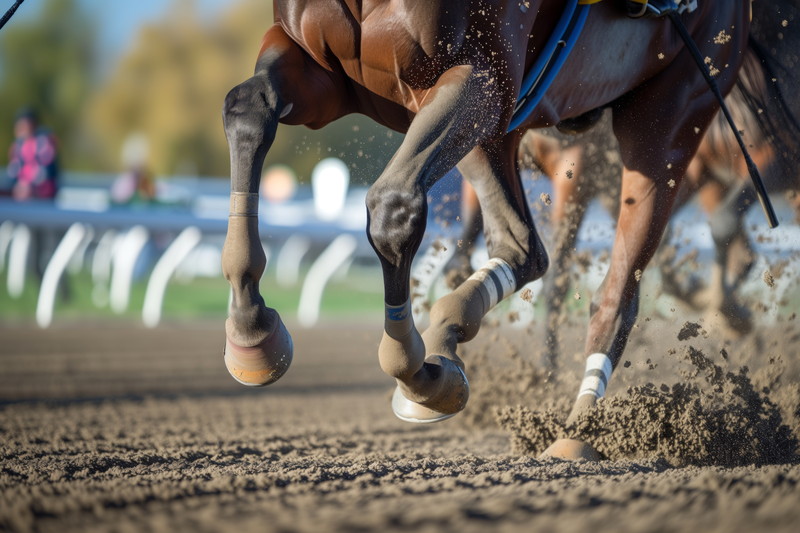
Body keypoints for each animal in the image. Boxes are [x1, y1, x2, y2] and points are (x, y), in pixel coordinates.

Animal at [217, 0, 780, 458]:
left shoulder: (478, 75)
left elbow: (393, 206)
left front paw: (417, 370)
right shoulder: (319, 65)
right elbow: (247, 107)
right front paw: (251, 329)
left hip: (667, 118)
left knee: (616, 292)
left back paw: (581, 430)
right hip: (499, 128)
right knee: (524, 249)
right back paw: (452, 331)